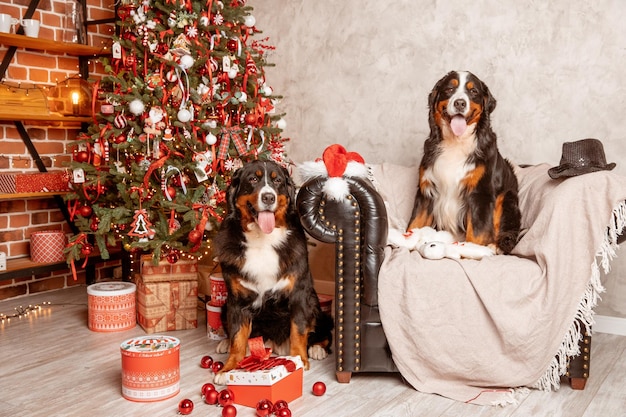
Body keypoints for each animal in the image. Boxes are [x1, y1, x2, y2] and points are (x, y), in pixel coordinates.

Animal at [212, 159, 334, 384]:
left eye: (277, 181)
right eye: (253, 179)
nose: (268, 197)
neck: (263, 240)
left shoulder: (298, 294)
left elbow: (298, 330)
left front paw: (299, 359)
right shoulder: (237, 300)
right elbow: (237, 338)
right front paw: (229, 368)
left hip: (314, 302)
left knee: (322, 332)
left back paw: (317, 348)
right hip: (225, 305)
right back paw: (224, 343)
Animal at [408, 70, 520, 254]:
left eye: (473, 91)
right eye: (450, 89)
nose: (460, 103)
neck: (456, 143)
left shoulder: (480, 193)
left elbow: (477, 233)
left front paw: (471, 252)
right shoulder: (426, 191)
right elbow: (415, 223)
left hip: (506, 198)